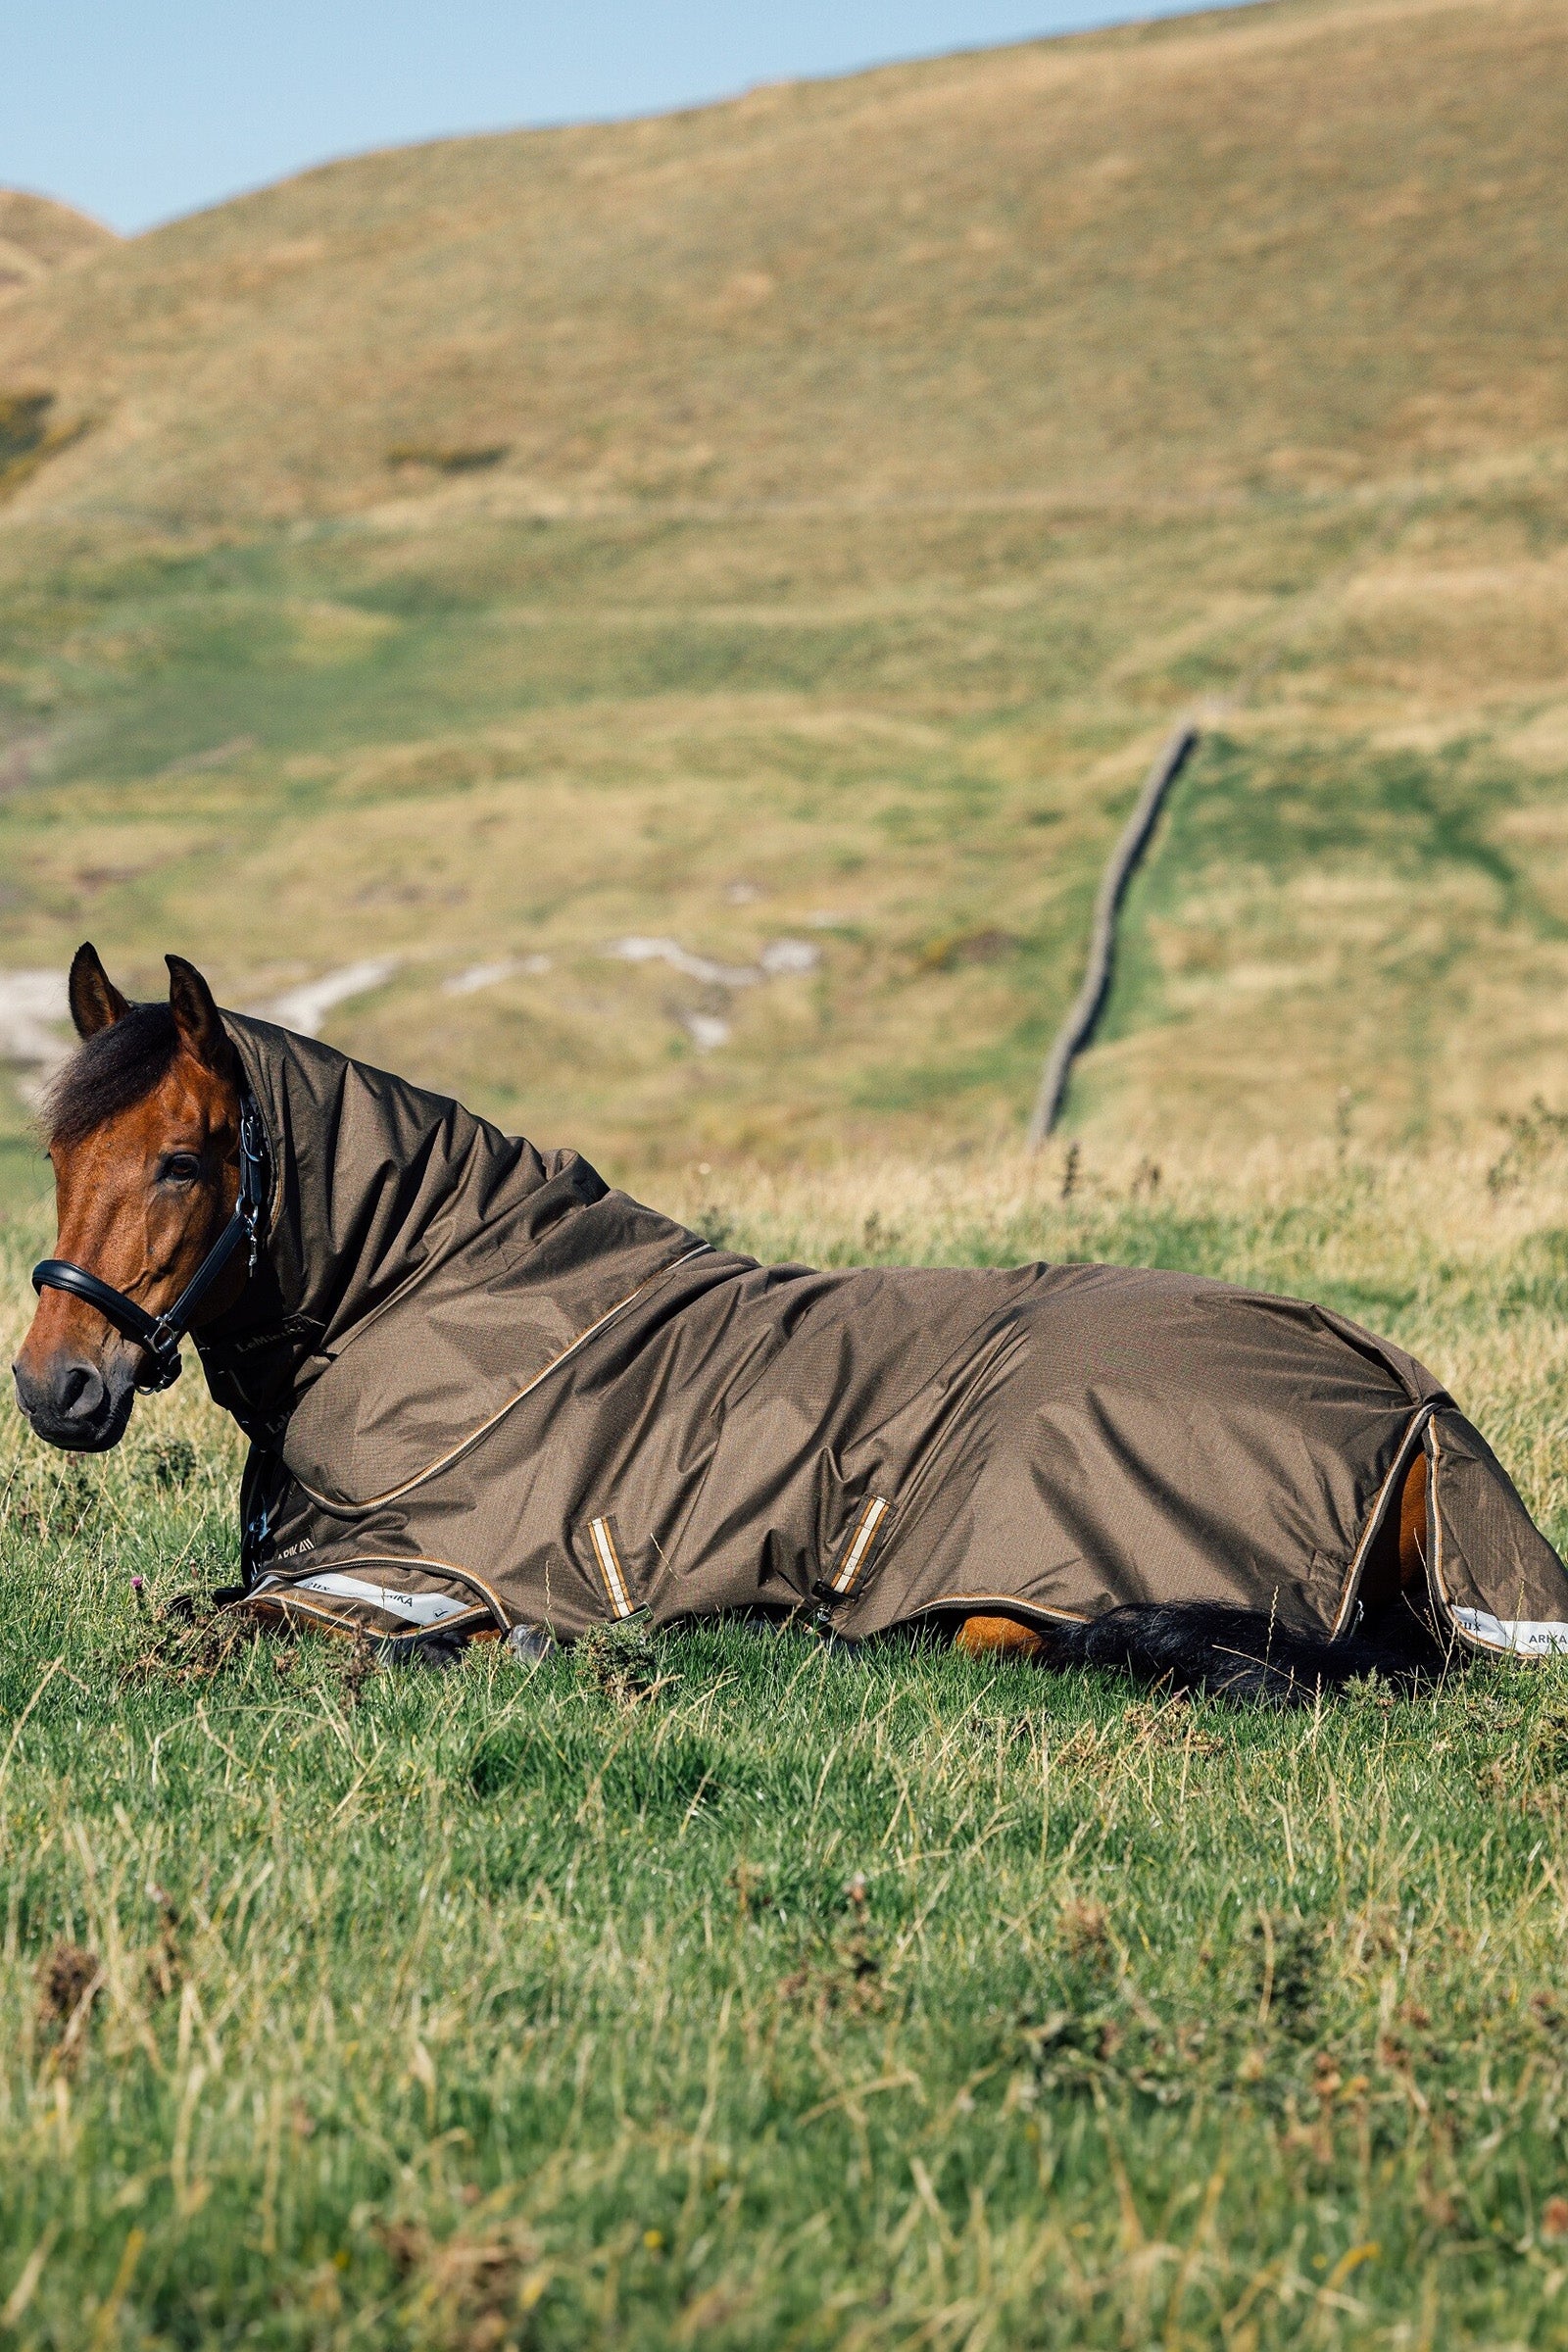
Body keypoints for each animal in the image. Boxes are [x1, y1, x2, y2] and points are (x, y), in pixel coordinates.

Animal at [14, 944, 1568, 1703]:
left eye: (181, 1160)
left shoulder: (404, 1576)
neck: (428, 1287)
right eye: (55, 1149)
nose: (56, 1388)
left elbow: (208, 1638)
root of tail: (1408, 1398)